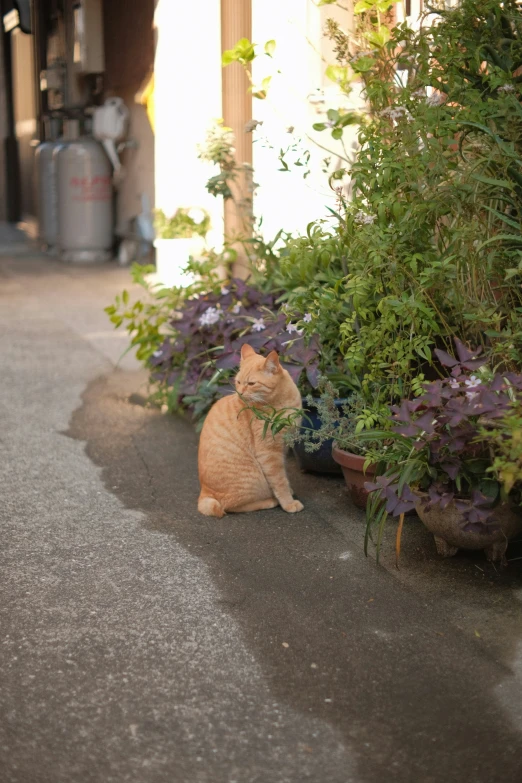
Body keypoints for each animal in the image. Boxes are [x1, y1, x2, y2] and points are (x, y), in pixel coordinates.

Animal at [197, 344, 302, 516]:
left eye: (251, 384)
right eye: (238, 382)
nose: (240, 393)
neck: (281, 402)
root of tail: (204, 493)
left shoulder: (284, 447)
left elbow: (284, 475)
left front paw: (289, 491)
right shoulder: (269, 453)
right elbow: (279, 481)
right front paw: (288, 503)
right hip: (253, 479)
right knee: (230, 506)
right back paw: (270, 501)